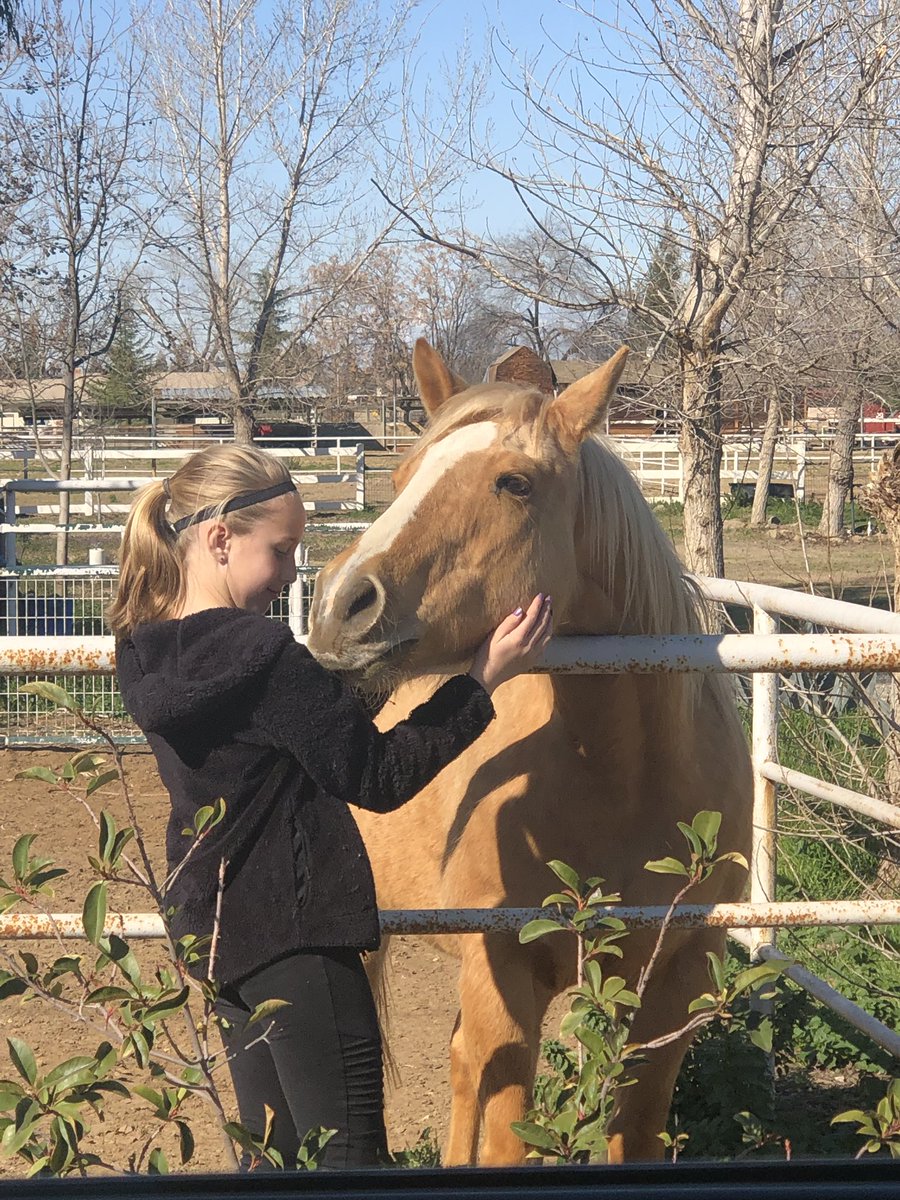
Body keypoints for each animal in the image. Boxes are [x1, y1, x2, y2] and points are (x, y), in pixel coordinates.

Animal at [306, 340, 751, 1166]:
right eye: (402, 476)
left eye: (513, 482)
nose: (337, 607)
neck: (625, 782)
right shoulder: (505, 974)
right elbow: (508, 1131)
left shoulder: (676, 980)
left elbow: (633, 1123)